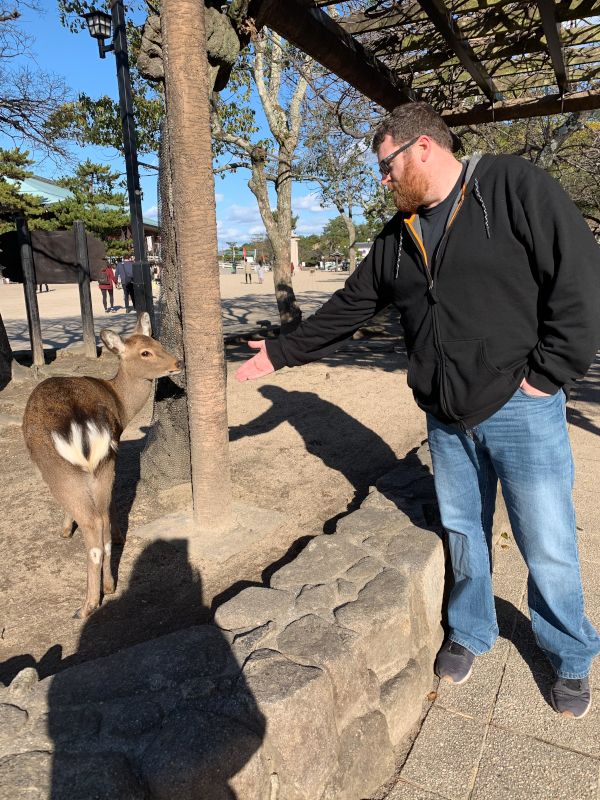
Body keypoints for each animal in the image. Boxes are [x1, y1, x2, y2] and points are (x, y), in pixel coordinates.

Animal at [22, 310, 182, 620]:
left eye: (157, 344)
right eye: (146, 350)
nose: (177, 362)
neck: (121, 405)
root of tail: (82, 425)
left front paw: (64, 529)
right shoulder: (114, 450)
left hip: (60, 469)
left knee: (93, 526)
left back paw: (86, 605)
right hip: (101, 465)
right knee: (103, 521)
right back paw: (109, 584)